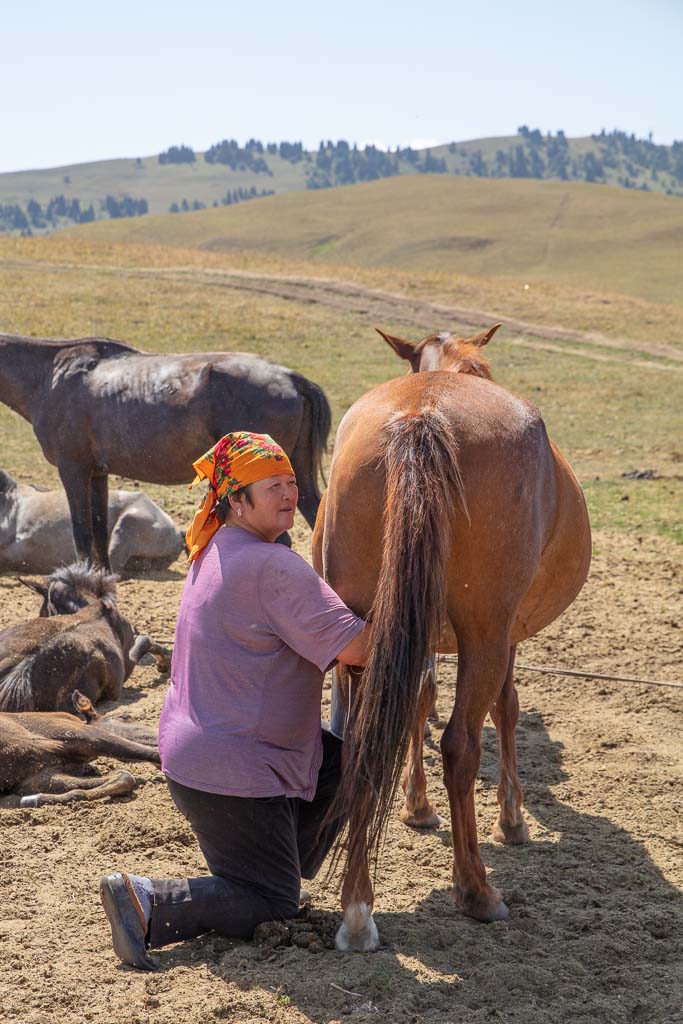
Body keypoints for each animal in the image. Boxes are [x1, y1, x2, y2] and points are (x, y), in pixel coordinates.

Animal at [0, 331, 331, 569]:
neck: (51, 376)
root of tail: (290, 378)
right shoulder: (97, 474)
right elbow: (99, 534)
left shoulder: (74, 470)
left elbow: (82, 536)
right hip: (296, 476)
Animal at [313, 325, 589, 950]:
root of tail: (423, 416)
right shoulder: (503, 633)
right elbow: (506, 708)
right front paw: (512, 818)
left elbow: (416, 706)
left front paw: (416, 808)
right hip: (484, 634)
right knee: (460, 746)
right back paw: (476, 891)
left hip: (362, 629)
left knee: (363, 745)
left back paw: (357, 911)